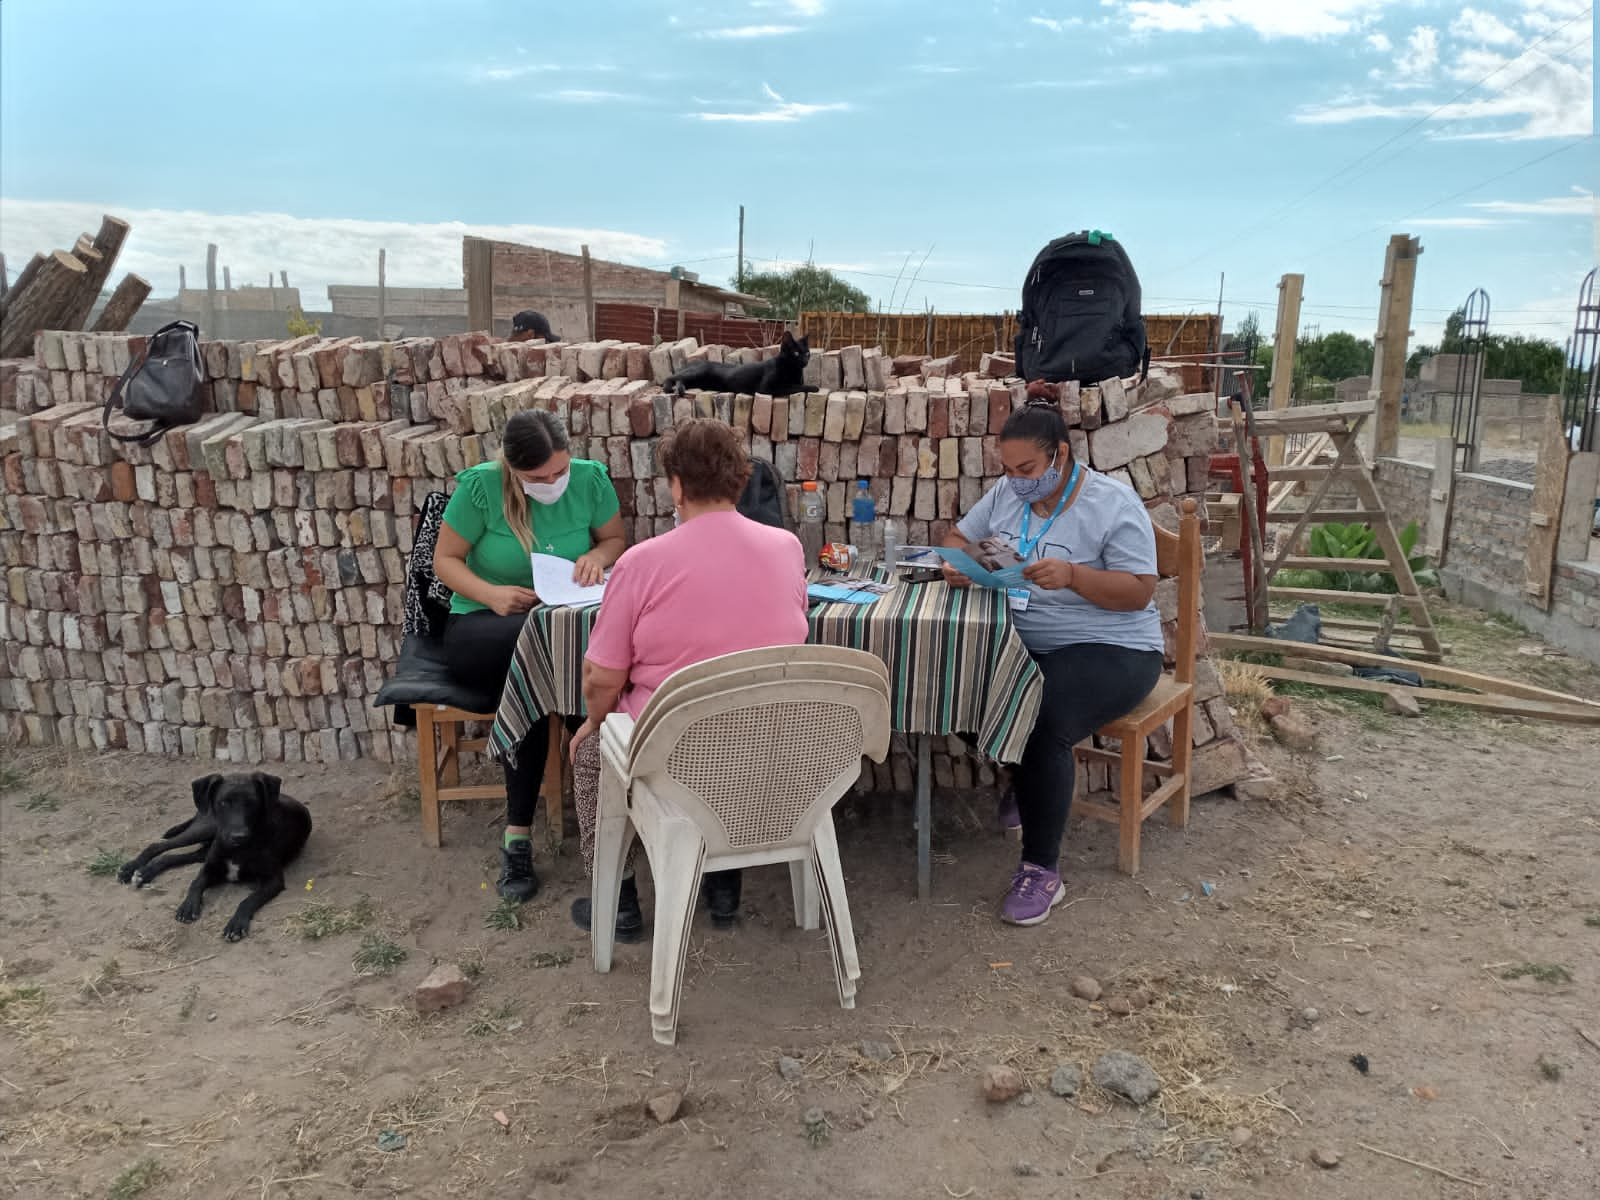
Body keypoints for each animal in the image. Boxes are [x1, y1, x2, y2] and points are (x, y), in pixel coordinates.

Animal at [118, 774, 312, 947]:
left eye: (252, 802)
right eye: (223, 802)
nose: (238, 836)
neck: (238, 849)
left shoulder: (273, 880)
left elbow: (248, 900)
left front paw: (236, 924)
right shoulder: (209, 868)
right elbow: (195, 883)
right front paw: (188, 907)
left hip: (203, 850)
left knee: (170, 856)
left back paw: (144, 873)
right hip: (205, 829)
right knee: (158, 845)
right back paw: (130, 869)